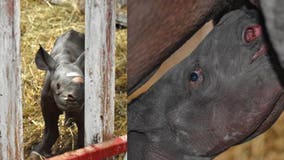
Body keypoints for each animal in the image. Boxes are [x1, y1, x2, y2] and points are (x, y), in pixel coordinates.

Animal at [31, 29, 84, 157]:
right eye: (57, 86)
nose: (74, 98)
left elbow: (82, 127)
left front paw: (81, 149)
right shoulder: (46, 101)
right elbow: (51, 130)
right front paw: (37, 153)